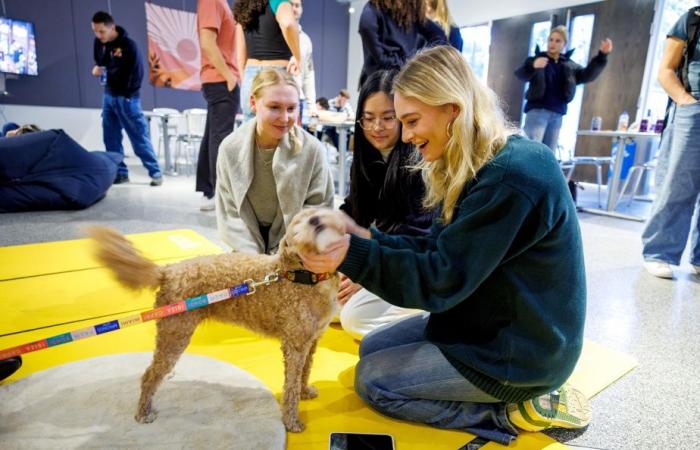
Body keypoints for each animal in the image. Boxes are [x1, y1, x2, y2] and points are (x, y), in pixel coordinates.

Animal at [88, 208, 344, 432]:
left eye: (317, 212)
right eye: (297, 224)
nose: (316, 220)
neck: (302, 277)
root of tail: (167, 271)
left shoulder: (311, 341)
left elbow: (305, 371)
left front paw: (305, 391)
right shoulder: (294, 345)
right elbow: (290, 385)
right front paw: (291, 422)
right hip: (175, 333)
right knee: (149, 374)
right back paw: (143, 413)